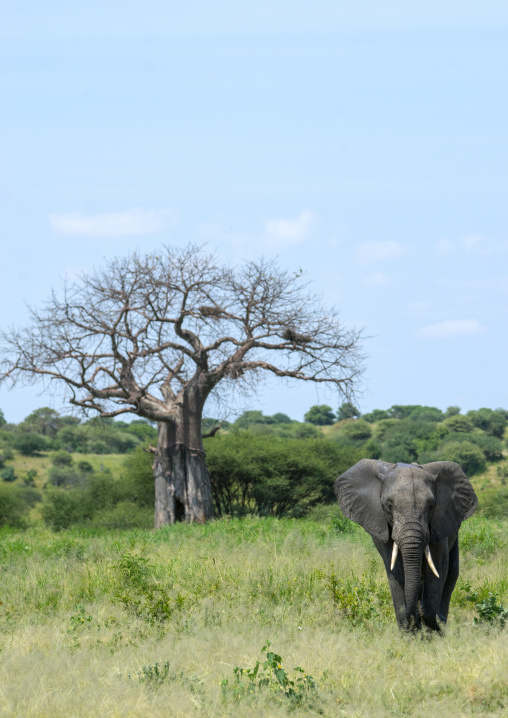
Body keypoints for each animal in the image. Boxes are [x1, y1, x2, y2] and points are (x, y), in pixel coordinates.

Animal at [334, 459, 478, 631]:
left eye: (431, 506)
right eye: (389, 505)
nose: (439, 622)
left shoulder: (439, 524)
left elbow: (437, 568)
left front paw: (431, 628)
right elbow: (396, 571)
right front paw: (409, 632)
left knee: (451, 575)